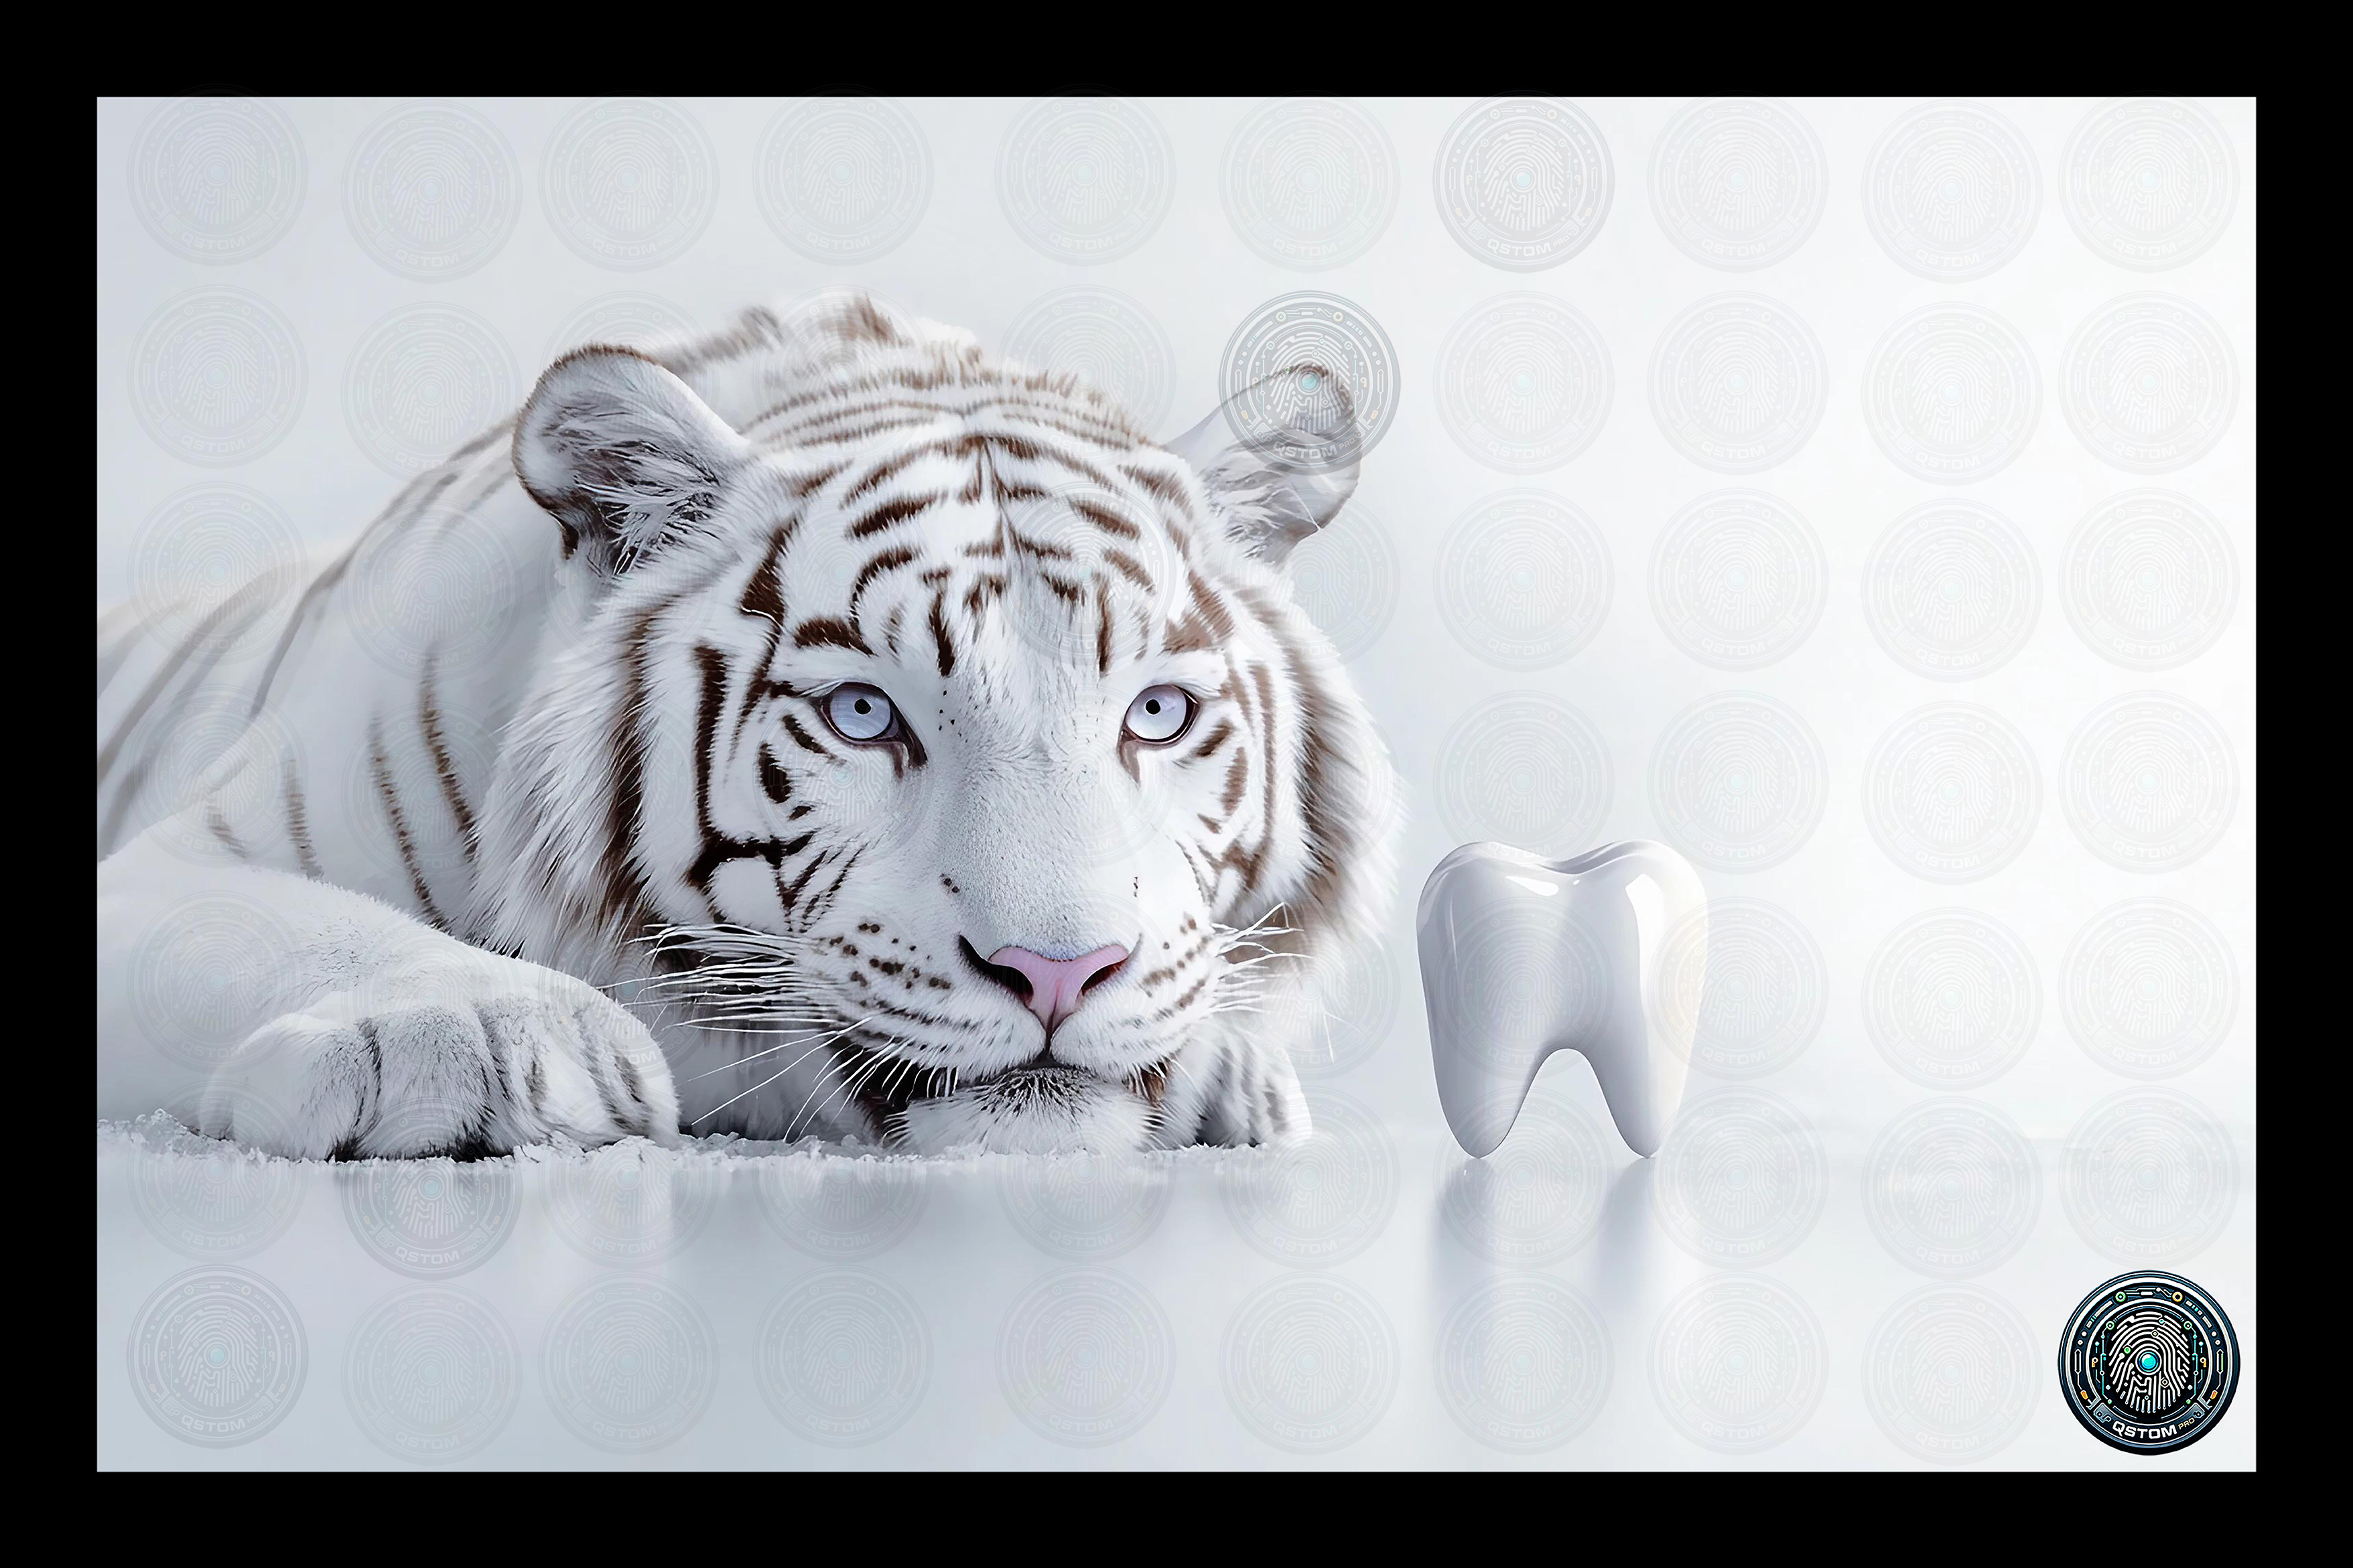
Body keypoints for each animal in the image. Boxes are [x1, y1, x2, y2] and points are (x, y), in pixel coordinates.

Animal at [97, 296, 1398, 1159]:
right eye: (862, 714)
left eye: (1157, 714)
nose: (1058, 971)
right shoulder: (191, 858)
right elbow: (317, 932)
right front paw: (483, 1041)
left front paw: (1229, 1073)